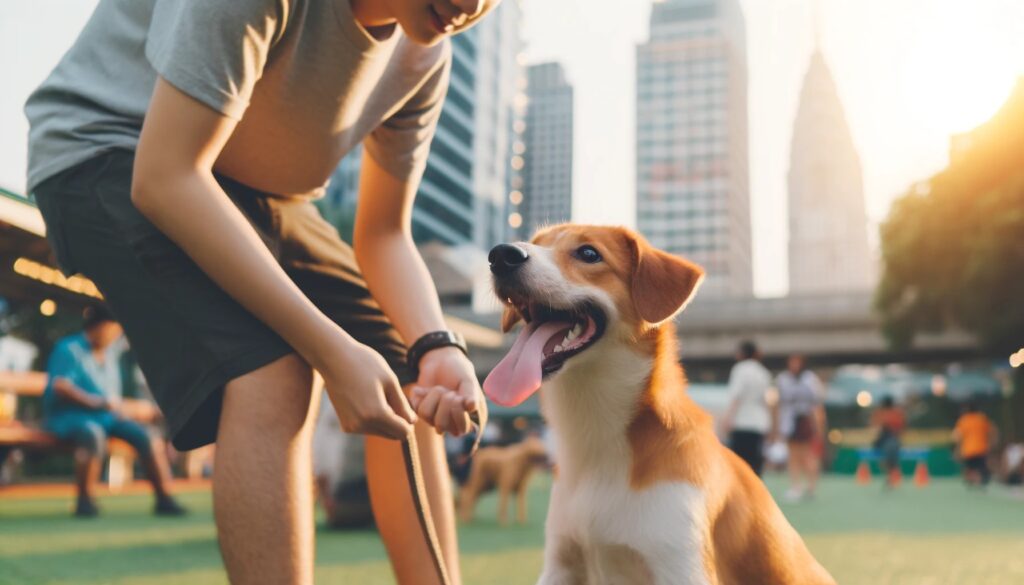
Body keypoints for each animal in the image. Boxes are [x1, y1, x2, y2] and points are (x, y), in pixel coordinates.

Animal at [481, 225, 831, 585]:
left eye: (589, 253)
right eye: (535, 244)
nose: (501, 255)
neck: (597, 435)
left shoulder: (680, 564)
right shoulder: (561, 563)